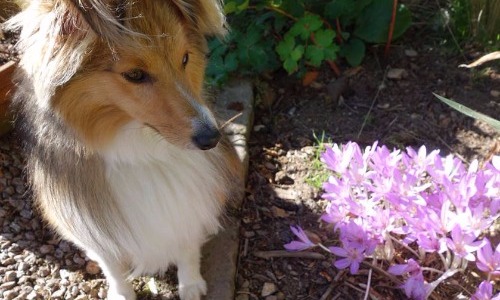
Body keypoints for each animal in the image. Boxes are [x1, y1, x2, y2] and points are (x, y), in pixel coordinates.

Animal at [6, 1, 244, 298]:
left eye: (185, 59)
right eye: (134, 75)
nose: (211, 138)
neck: (140, 149)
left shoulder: (189, 207)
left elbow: (187, 246)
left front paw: (190, 285)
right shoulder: (92, 228)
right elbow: (112, 267)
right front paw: (122, 293)